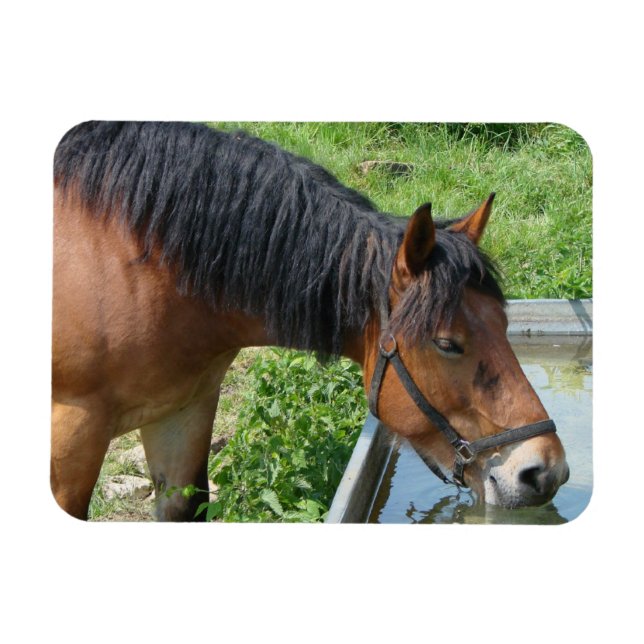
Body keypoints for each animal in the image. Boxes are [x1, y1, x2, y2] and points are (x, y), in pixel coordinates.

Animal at [52, 121, 569, 521]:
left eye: (504, 323)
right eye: (446, 343)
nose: (545, 471)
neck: (134, 260)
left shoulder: (183, 411)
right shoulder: (72, 434)